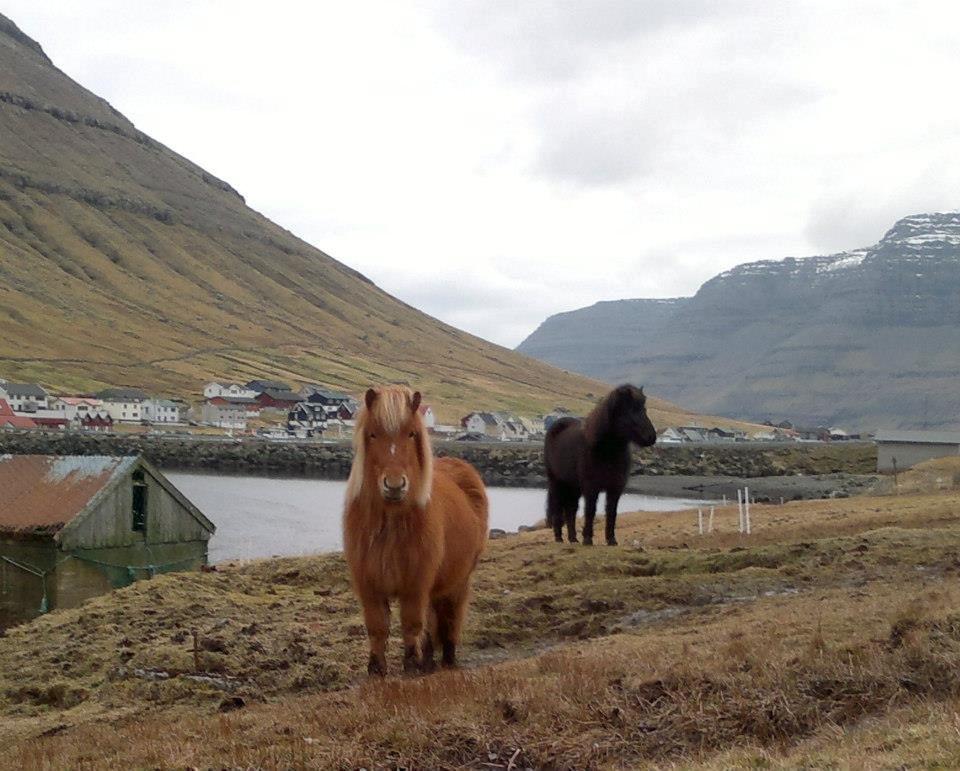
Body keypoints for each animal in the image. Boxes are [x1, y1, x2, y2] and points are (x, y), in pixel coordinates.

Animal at [342, 386, 488, 676]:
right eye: (372, 433)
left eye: (411, 433)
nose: (394, 485)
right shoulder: (368, 583)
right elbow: (377, 626)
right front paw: (376, 668)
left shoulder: (415, 583)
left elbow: (411, 624)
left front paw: (410, 664)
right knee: (433, 623)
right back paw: (429, 660)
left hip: (458, 582)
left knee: (450, 618)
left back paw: (447, 659)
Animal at [544, 384, 656, 544]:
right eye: (632, 409)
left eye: (644, 409)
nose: (652, 437)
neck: (605, 451)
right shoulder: (591, 488)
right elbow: (590, 511)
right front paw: (587, 539)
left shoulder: (615, 488)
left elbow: (611, 512)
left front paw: (611, 540)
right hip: (557, 483)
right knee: (559, 507)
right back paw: (559, 537)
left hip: (574, 486)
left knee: (571, 510)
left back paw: (573, 538)